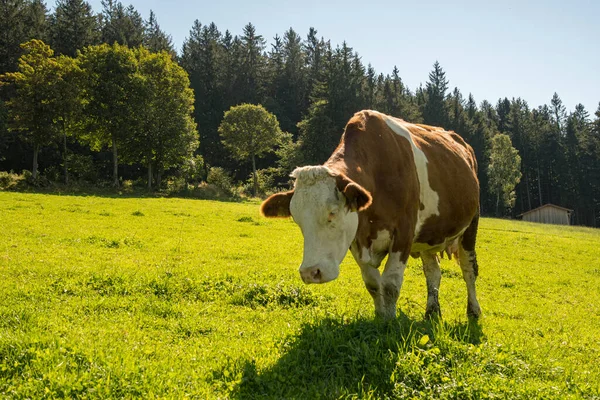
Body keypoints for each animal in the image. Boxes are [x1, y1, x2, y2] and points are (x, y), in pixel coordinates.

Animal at [260, 108, 480, 318]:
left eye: (333, 213)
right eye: (296, 218)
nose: (310, 272)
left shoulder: (404, 233)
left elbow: (390, 284)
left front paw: (390, 321)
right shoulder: (356, 239)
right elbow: (373, 284)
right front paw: (380, 317)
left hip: (471, 225)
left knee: (469, 269)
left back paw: (473, 310)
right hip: (430, 233)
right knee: (433, 272)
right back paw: (432, 311)